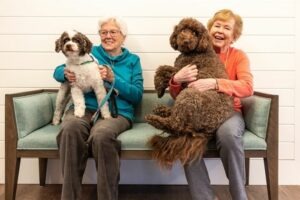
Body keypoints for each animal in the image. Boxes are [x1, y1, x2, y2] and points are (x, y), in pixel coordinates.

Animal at [145, 18, 234, 168]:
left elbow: (163, 69)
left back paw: (154, 119)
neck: (196, 51)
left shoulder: (184, 71)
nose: (186, 40)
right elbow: (167, 71)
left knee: (175, 124)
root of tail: (207, 131)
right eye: (183, 30)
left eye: (195, 33)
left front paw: (159, 89)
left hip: (189, 94)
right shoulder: (181, 71)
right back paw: (161, 110)